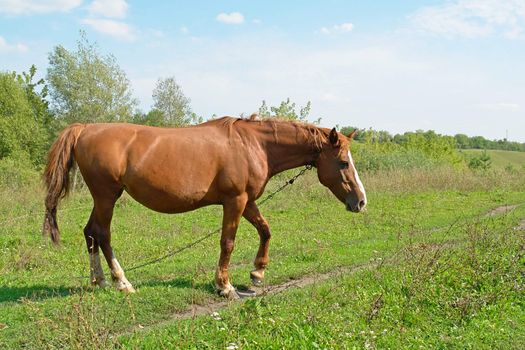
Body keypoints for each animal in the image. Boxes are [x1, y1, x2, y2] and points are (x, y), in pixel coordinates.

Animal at [43, 116, 366, 296]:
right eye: (343, 162)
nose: (361, 201)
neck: (254, 145)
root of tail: (85, 129)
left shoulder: (248, 201)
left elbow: (265, 231)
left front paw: (257, 274)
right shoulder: (235, 201)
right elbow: (228, 243)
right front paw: (225, 286)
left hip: (102, 199)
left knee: (90, 232)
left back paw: (99, 280)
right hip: (107, 196)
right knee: (102, 234)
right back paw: (122, 282)